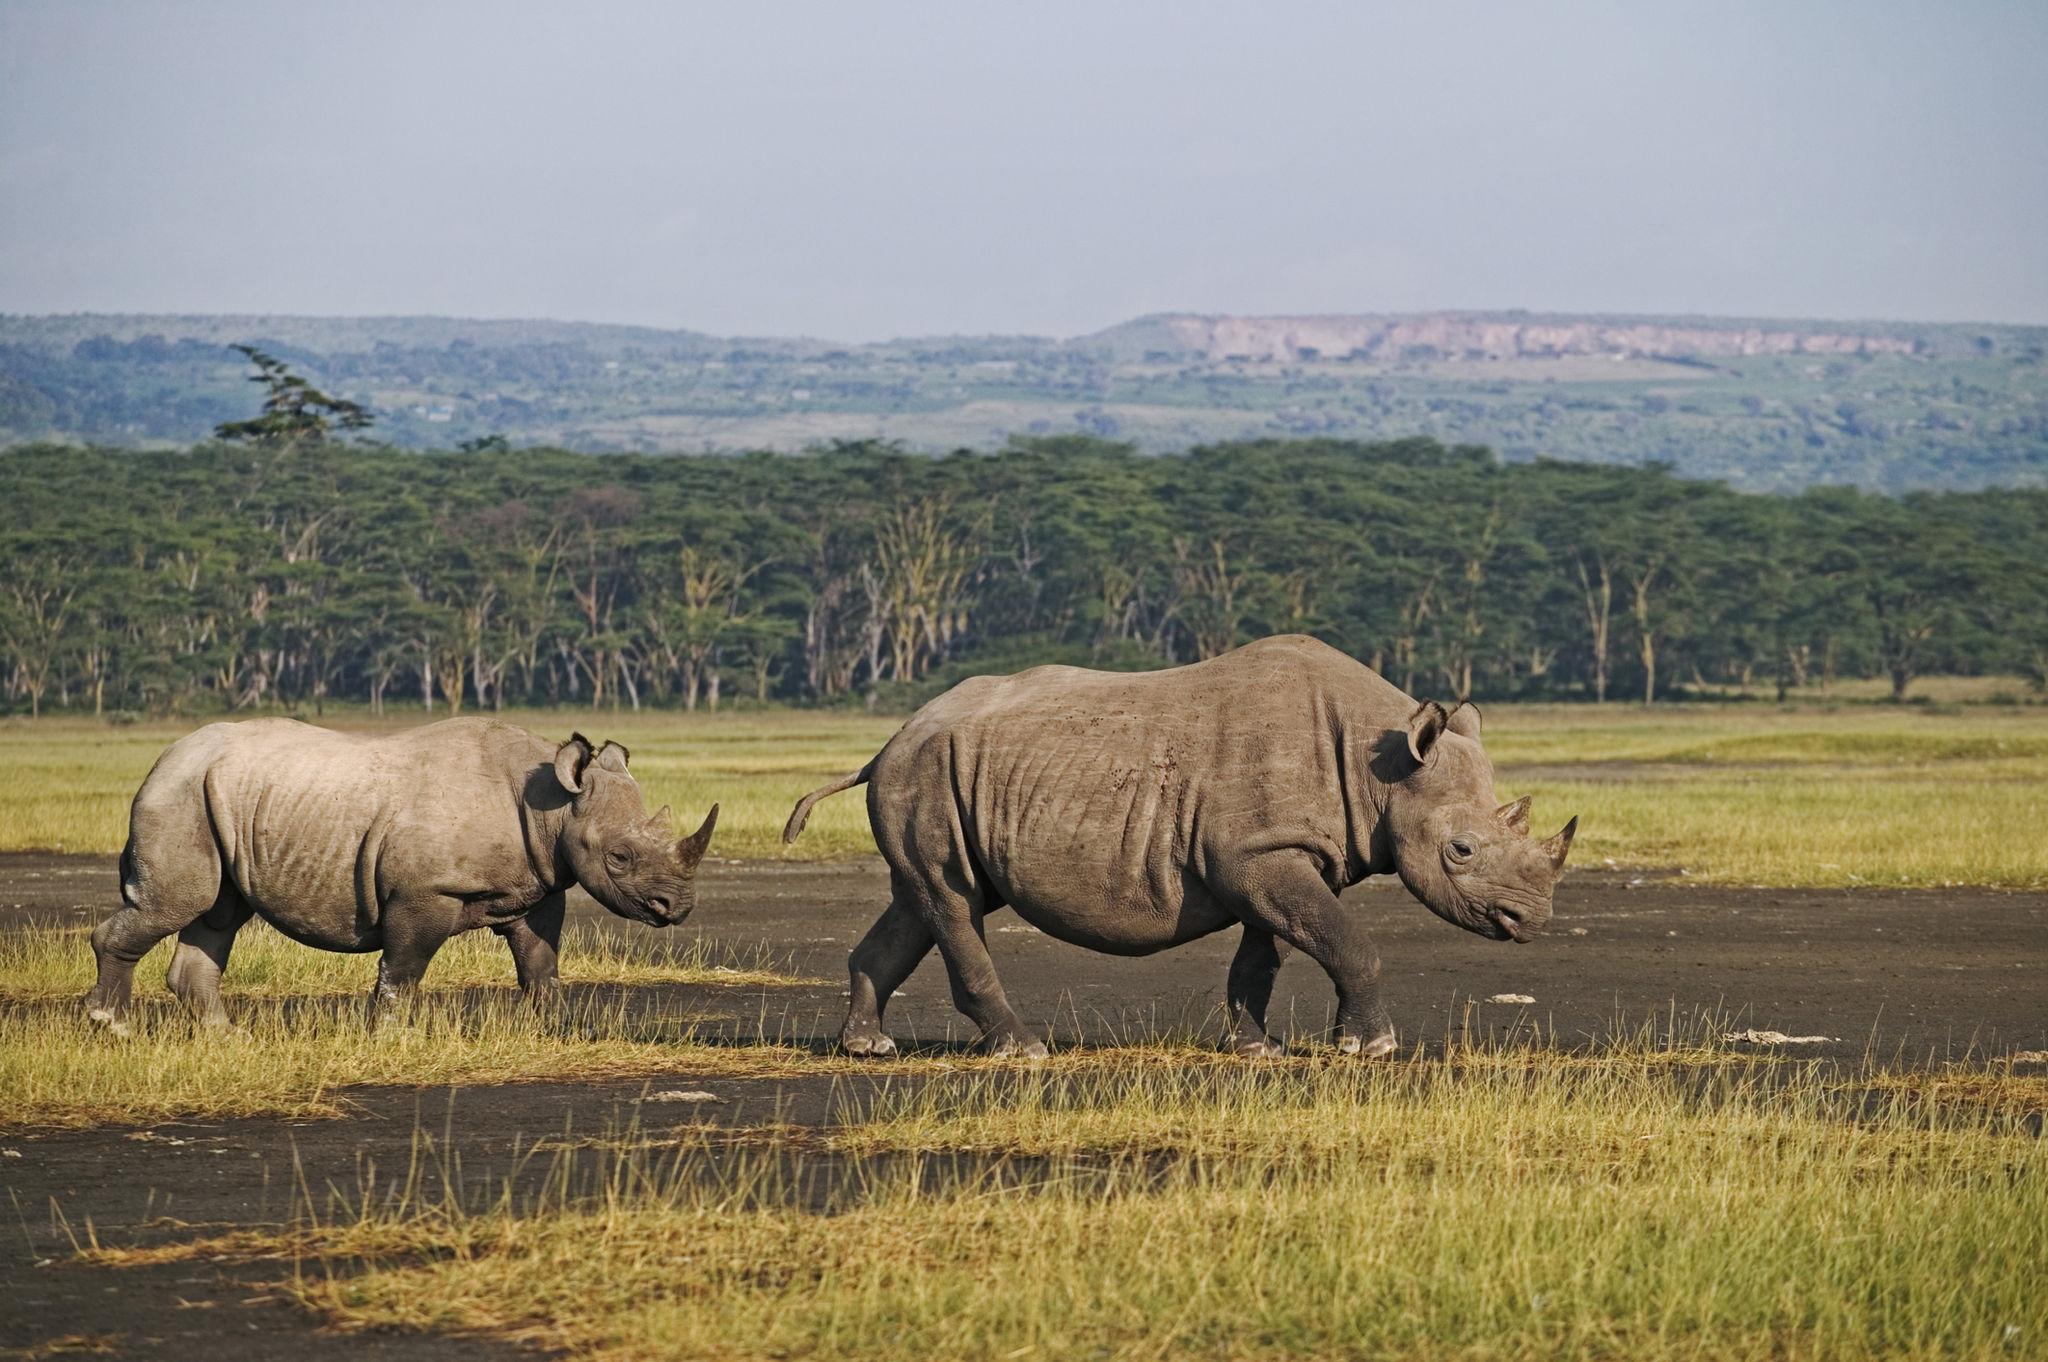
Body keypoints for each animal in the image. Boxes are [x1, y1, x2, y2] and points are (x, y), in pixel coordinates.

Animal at [85, 717, 717, 1030]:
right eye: (620, 858)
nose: (676, 908)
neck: (556, 806)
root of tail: (164, 757)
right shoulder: (424, 891)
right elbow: (404, 968)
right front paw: (390, 1035)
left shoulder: (538, 883)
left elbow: (540, 962)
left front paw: (551, 1031)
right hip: (180, 794)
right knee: (178, 903)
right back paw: (111, 1026)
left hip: (215, 795)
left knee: (217, 914)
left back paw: (229, 1039)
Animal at [783, 635, 1575, 1058]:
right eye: (1461, 851)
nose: (1532, 920)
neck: (1380, 762)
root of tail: (893, 737)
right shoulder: (1259, 855)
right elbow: (1348, 942)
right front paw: (1368, 1048)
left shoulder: (1270, 854)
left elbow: (1266, 955)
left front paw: (1258, 1050)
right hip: (925, 770)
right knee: (951, 901)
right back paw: (1024, 1051)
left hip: (935, 773)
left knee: (923, 898)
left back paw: (867, 1047)